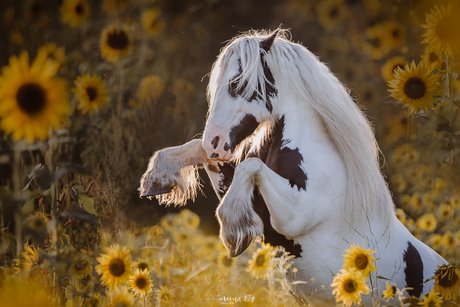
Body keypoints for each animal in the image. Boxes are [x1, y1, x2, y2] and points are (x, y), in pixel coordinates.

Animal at [138, 29, 448, 306]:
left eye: (236, 83)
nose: (214, 140)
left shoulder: (293, 216)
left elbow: (249, 165)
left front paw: (233, 234)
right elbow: (205, 154)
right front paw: (156, 179)